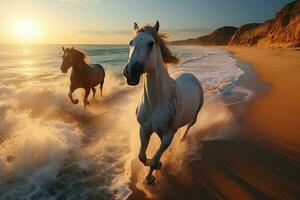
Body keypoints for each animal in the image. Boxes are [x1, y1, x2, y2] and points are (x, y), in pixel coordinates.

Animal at [122, 21, 204, 184]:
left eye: (151, 43)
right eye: (131, 42)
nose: (131, 73)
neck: (155, 103)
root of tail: (192, 76)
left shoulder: (167, 136)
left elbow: (154, 161)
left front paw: (151, 176)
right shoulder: (144, 129)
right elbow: (141, 157)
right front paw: (151, 164)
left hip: (194, 116)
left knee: (188, 127)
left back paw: (182, 142)